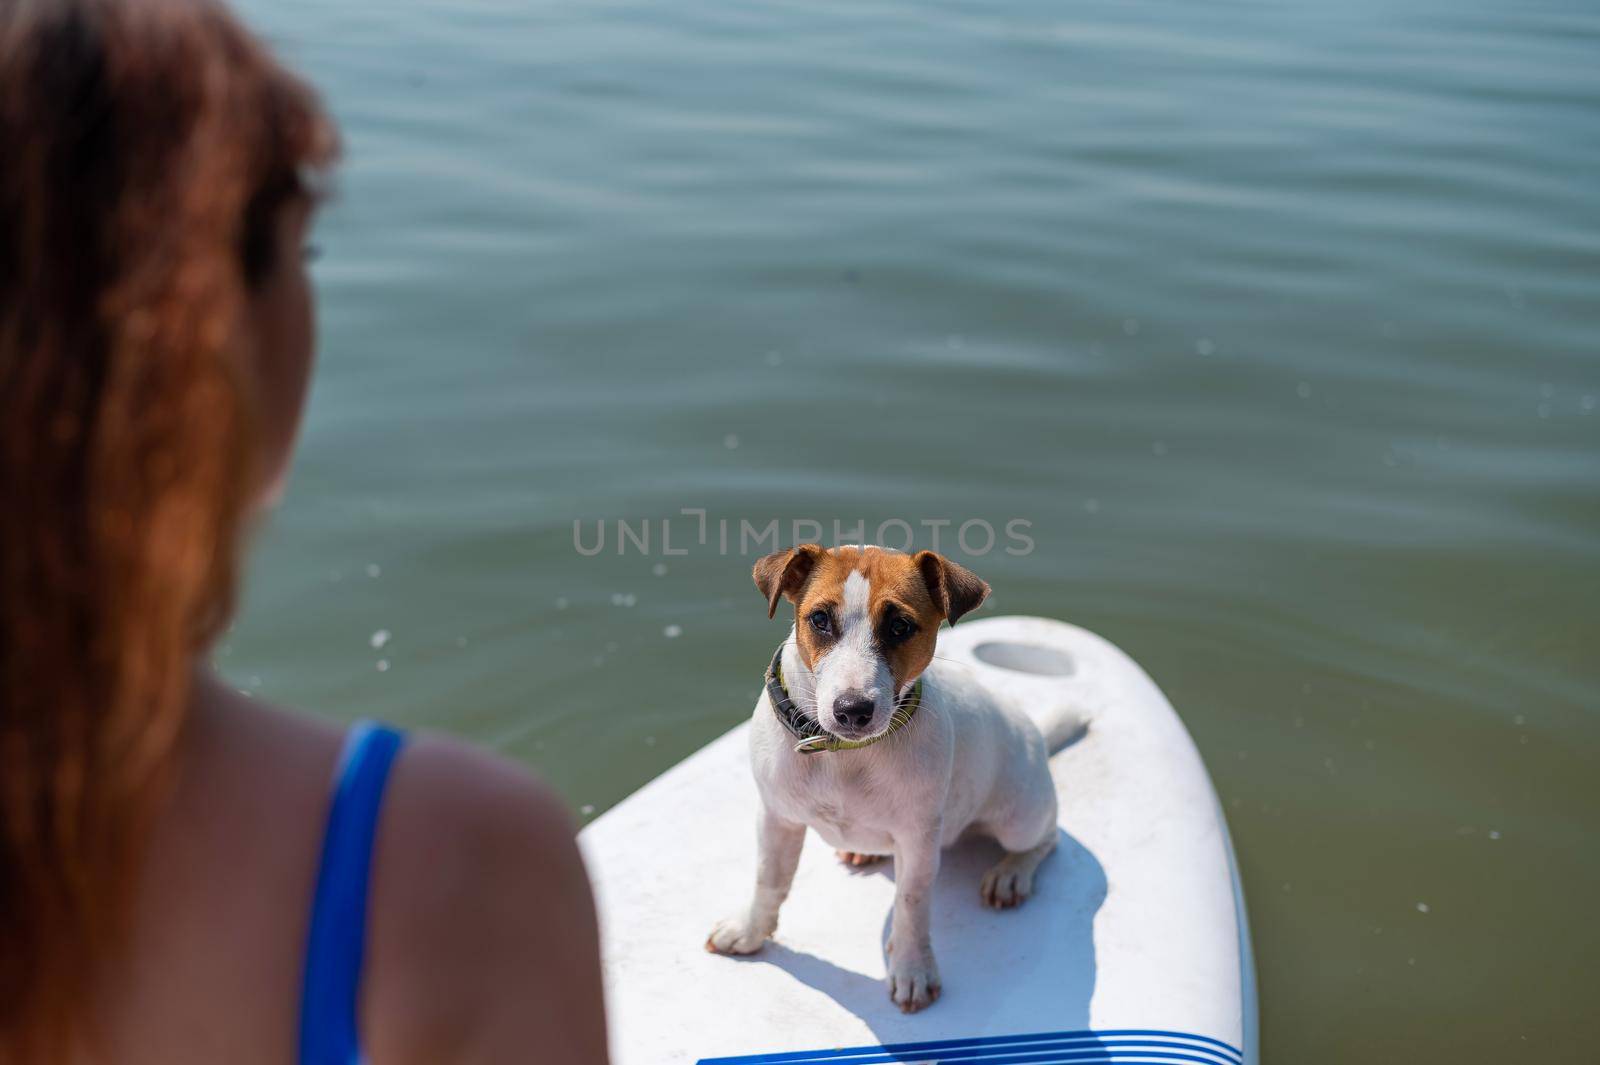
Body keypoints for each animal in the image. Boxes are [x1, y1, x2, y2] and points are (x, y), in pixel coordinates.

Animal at [704, 543, 1068, 1010]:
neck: (843, 756)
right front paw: (749, 932)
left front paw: (912, 970)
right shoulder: (776, 817)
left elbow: (911, 904)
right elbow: (769, 880)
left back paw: (1011, 874)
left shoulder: (918, 840)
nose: (851, 710)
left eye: (900, 626)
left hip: (1018, 818)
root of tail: (1036, 735)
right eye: (819, 619)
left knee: (1046, 839)